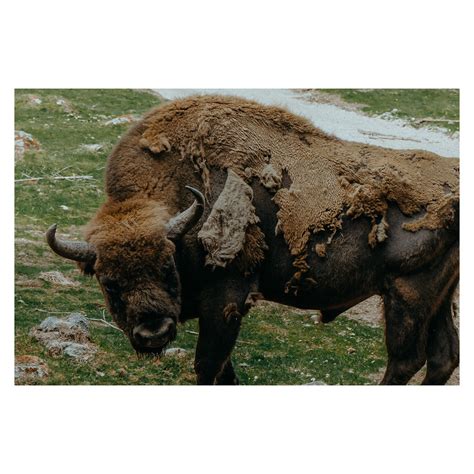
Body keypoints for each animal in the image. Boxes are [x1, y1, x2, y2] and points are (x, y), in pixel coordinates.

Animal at [45, 95, 460, 386]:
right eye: (109, 282)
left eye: (167, 265)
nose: (154, 333)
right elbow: (224, 369)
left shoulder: (227, 299)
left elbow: (208, 365)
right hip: (437, 299)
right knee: (444, 358)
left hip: (407, 296)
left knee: (406, 360)